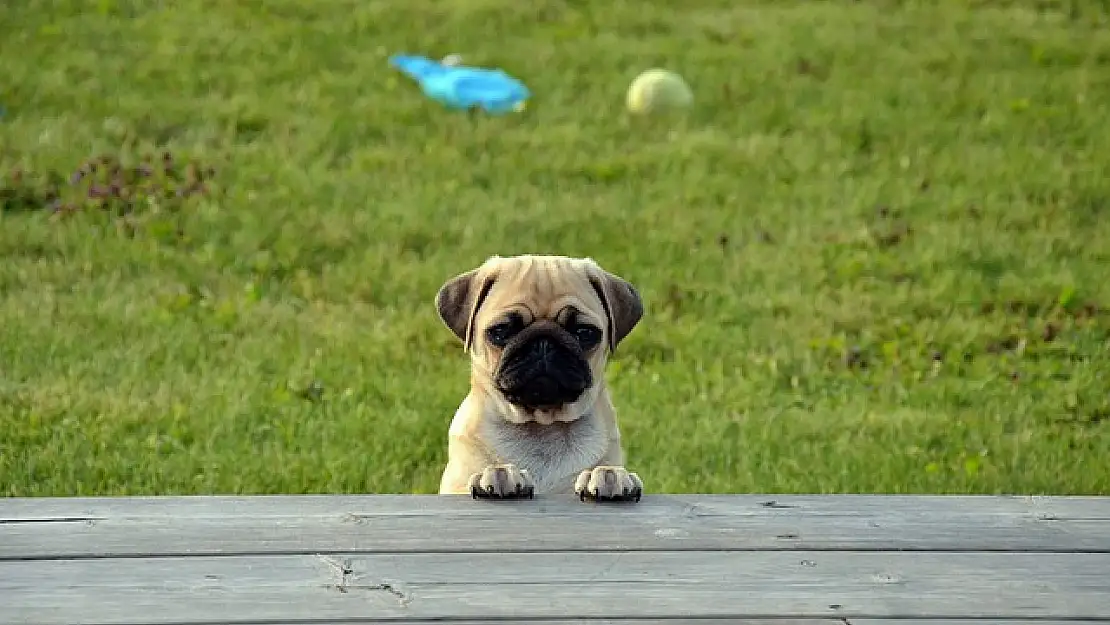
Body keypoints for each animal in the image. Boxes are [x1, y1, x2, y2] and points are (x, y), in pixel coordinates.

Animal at [432, 254, 643, 503]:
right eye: (500, 331)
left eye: (585, 332)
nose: (544, 342)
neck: (542, 426)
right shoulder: (455, 487)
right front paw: (499, 473)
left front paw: (609, 475)